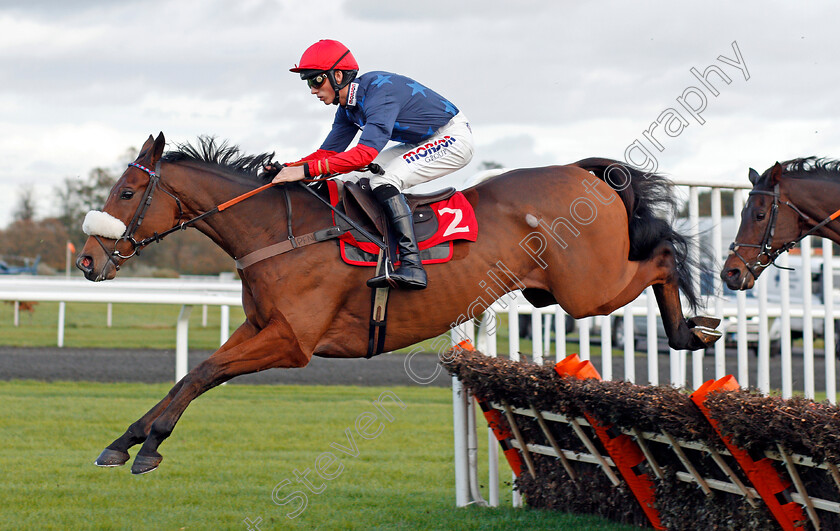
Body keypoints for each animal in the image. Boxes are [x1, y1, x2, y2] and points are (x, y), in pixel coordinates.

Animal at [80, 132, 720, 474]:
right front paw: (127, 441)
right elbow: (194, 373)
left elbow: (205, 372)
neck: (281, 232)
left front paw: (146, 446)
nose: (87, 261)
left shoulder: (291, 343)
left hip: (588, 290)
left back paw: (693, 328)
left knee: (664, 255)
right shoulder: (262, 328)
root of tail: (581, 171)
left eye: (127, 193)